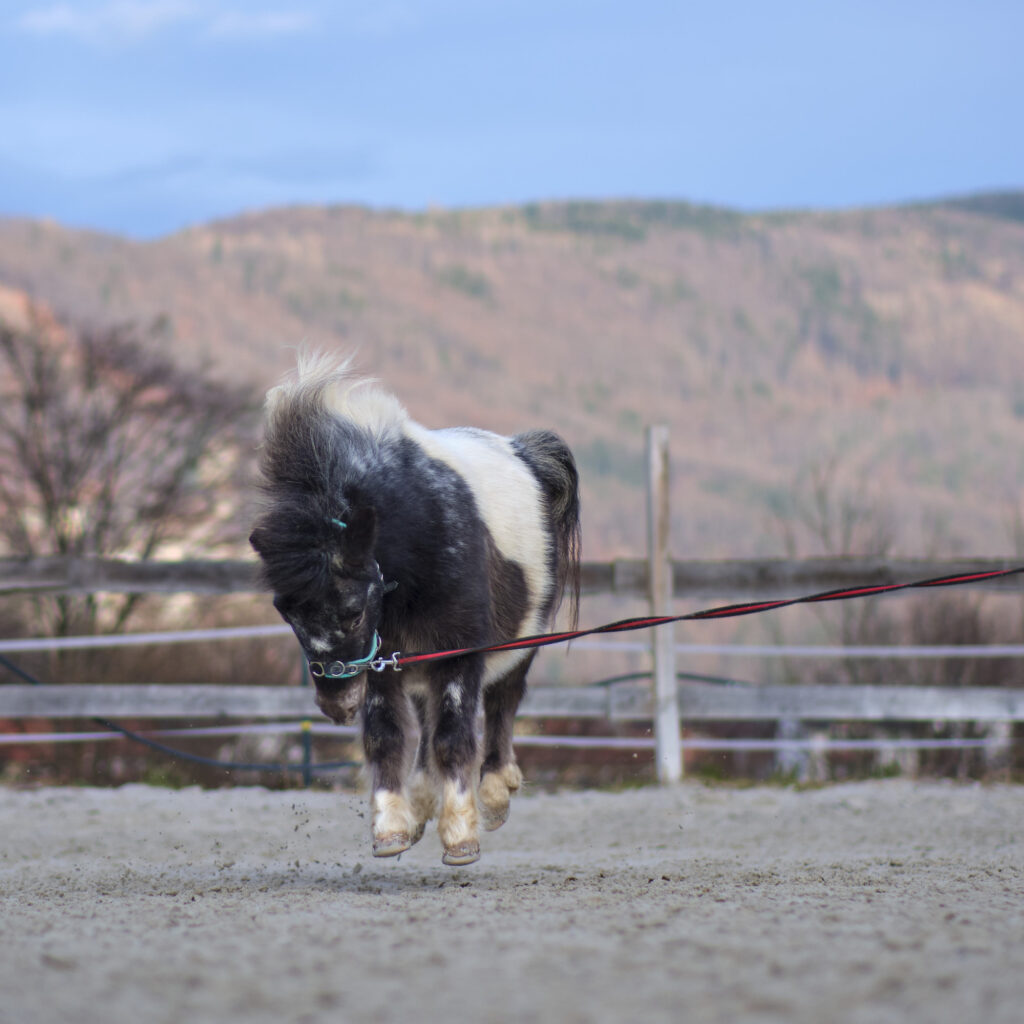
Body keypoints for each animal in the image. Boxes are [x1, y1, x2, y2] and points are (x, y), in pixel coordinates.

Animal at [249, 353, 581, 866]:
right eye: (287, 614)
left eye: (353, 610)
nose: (335, 706)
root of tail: (523, 453)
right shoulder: (382, 662)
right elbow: (386, 736)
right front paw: (391, 828)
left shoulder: (459, 653)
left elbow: (454, 736)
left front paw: (461, 836)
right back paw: (424, 800)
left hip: (519, 642)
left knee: (502, 704)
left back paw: (494, 793)